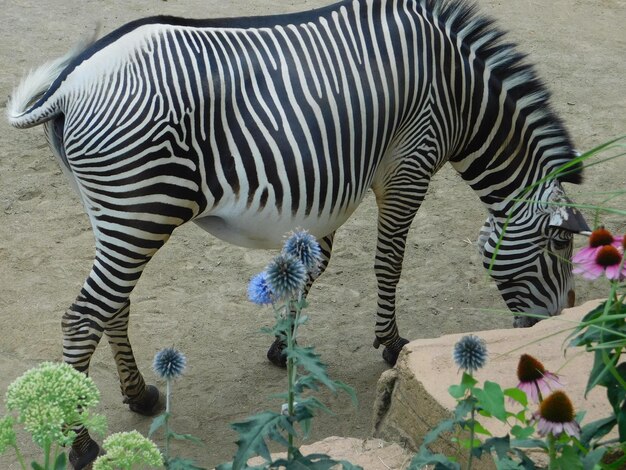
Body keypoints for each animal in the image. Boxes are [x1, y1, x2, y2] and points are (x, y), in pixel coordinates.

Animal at [7, 0, 588, 464]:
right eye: (560, 245)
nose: (553, 327)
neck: (460, 91)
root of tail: (69, 85)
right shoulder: (409, 164)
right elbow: (390, 261)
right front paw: (390, 344)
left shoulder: (325, 190)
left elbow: (312, 267)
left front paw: (282, 347)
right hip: (141, 208)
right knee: (83, 316)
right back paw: (81, 443)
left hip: (117, 214)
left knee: (113, 305)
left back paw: (140, 394)